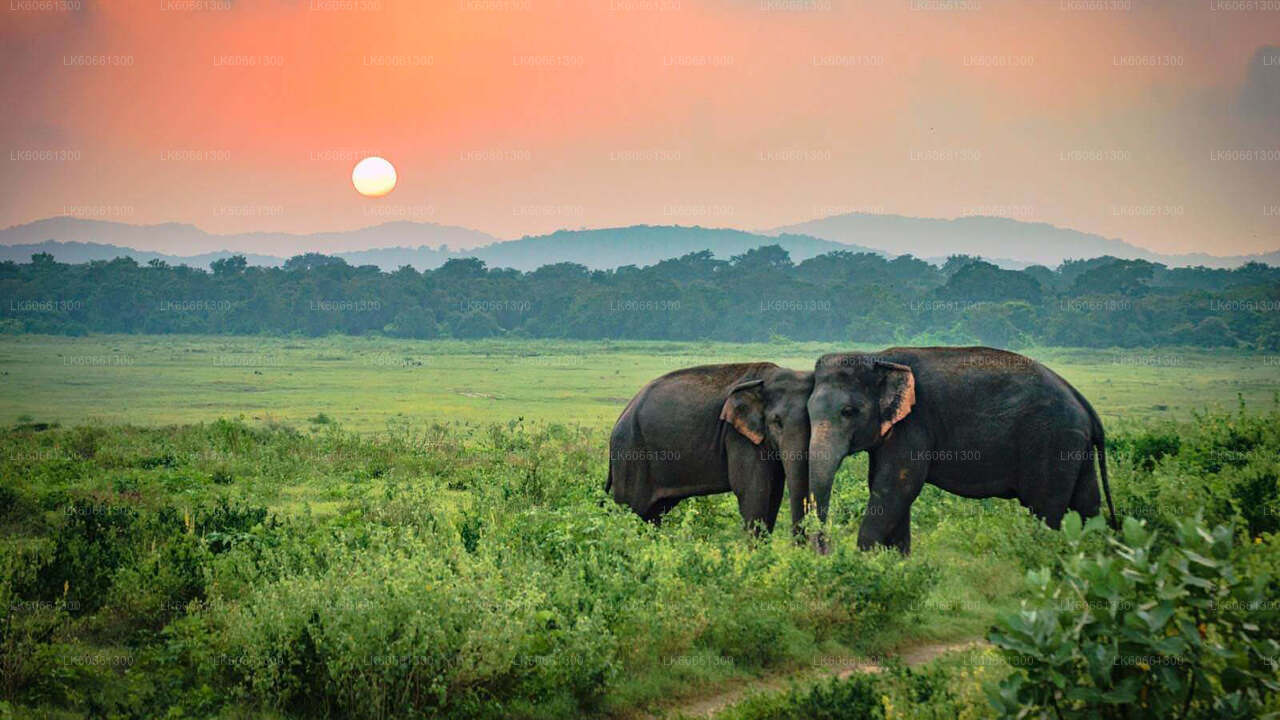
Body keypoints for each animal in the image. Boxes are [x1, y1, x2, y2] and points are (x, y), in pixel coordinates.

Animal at [606, 358, 808, 532]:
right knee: (631, 508)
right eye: (777, 422)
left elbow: (774, 493)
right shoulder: (738, 437)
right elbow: (753, 492)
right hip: (631, 452)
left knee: (653, 514)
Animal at [808, 345, 1111, 550]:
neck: (878, 357)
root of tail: (1082, 402)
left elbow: (896, 487)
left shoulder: (914, 424)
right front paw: (895, 562)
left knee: (1045, 509)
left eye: (848, 412)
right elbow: (888, 488)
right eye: (808, 411)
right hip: (1074, 447)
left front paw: (866, 561)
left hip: (1052, 443)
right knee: (1087, 504)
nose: (824, 548)